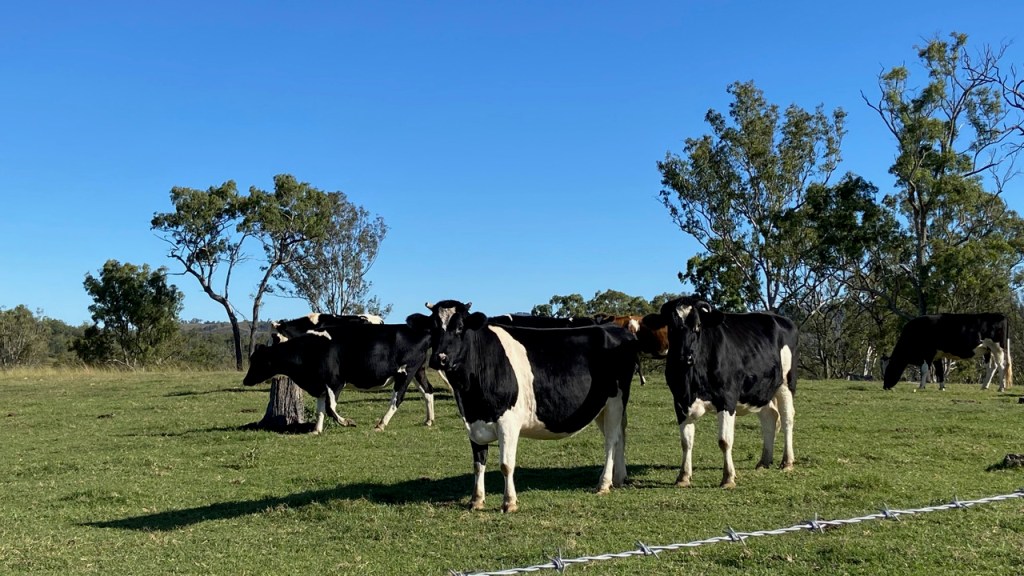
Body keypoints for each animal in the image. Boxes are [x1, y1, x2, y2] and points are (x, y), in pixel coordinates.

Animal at [242, 316, 436, 433]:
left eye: (258, 361)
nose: (245, 380)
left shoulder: (335, 382)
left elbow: (330, 408)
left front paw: (347, 422)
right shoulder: (320, 385)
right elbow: (320, 409)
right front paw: (316, 430)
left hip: (405, 373)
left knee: (398, 398)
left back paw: (381, 424)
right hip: (418, 371)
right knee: (428, 391)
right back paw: (429, 420)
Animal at [424, 300, 638, 512]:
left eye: (460, 327)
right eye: (433, 328)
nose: (439, 358)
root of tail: (616, 329)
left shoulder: (508, 422)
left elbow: (506, 464)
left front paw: (509, 502)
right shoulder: (472, 422)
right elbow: (478, 464)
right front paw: (476, 500)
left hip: (616, 400)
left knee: (611, 440)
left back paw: (604, 484)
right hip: (600, 406)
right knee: (620, 435)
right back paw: (619, 478)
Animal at [643, 296, 797, 489]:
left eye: (698, 326)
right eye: (671, 326)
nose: (685, 357)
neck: (691, 381)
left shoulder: (727, 399)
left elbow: (724, 441)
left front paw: (728, 478)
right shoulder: (680, 401)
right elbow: (686, 442)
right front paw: (683, 477)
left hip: (785, 384)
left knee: (787, 419)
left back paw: (787, 462)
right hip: (761, 389)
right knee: (770, 418)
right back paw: (764, 462)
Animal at [882, 313, 1013, 392]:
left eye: (889, 369)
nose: (885, 386)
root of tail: (1001, 315)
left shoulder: (928, 353)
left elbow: (924, 369)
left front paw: (921, 386)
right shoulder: (937, 355)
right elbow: (939, 371)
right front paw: (942, 387)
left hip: (997, 348)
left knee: (1001, 366)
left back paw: (1001, 388)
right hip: (988, 350)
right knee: (992, 367)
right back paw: (984, 386)